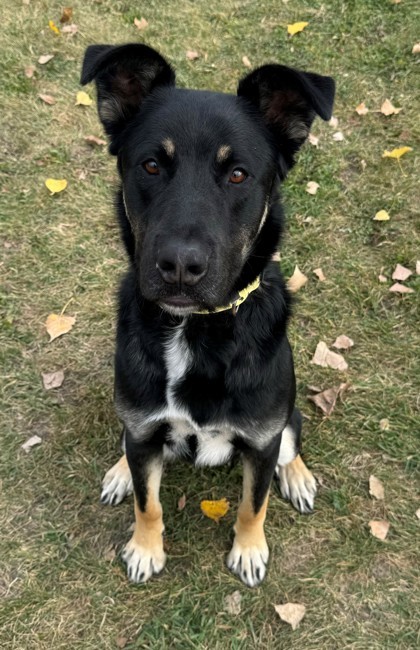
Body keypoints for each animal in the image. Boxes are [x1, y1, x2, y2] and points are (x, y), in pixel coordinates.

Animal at [81, 43, 334, 584]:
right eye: (151, 165)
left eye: (238, 174)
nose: (179, 265)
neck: (195, 330)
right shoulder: (143, 430)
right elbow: (148, 501)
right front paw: (146, 548)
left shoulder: (260, 441)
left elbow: (253, 503)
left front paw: (249, 550)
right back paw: (119, 470)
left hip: (285, 420)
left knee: (292, 438)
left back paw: (297, 476)